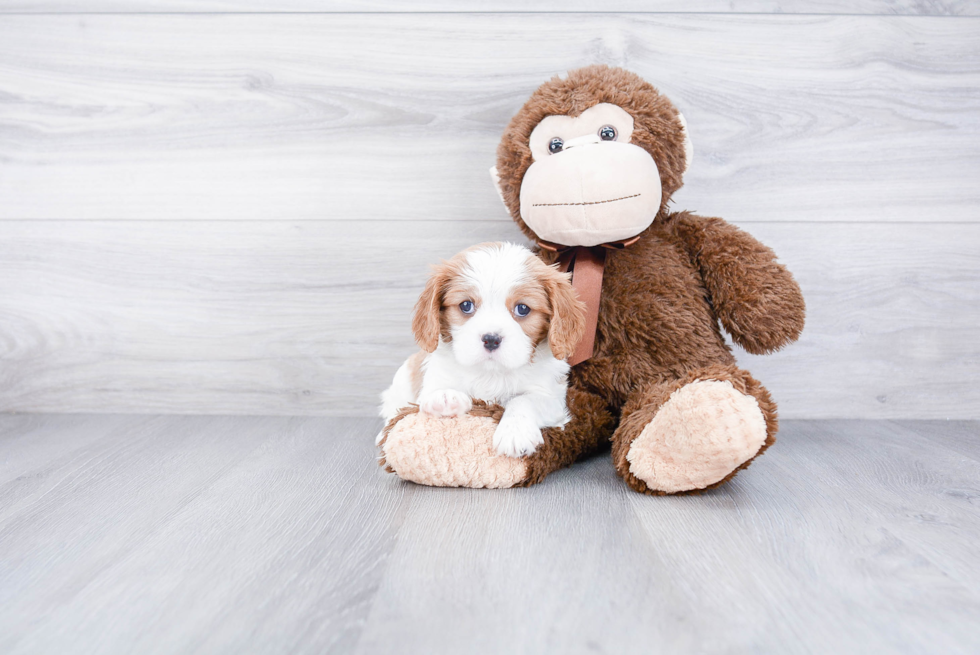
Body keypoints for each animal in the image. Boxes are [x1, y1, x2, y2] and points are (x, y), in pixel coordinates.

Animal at [378, 241, 584, 456]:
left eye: (523, 308)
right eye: (466, 305)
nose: (491, 339)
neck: (490, 373)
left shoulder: (551, 398)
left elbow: (523, 400)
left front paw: (515, 431)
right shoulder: (433, 380)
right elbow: (433, 393)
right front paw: (445, 397)